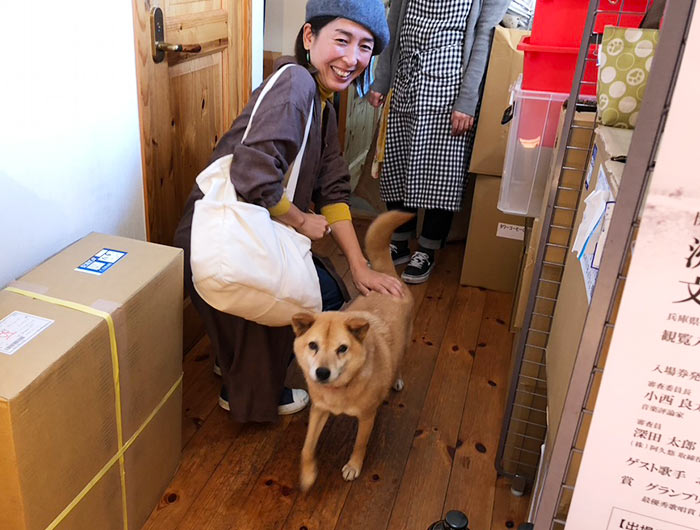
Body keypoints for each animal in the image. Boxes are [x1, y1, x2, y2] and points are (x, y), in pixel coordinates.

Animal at [292, 208, 416, 488]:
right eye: (313, 345)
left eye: (342, 349)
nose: (322, 373)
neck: (340, 391)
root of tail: (387, 275)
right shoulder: (318, 410)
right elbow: (306, 447)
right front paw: (308, 474)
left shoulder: (367, 417)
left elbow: (360, 444)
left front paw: (353, 466)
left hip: (404, 343)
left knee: (400, 362)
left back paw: (397, 379)